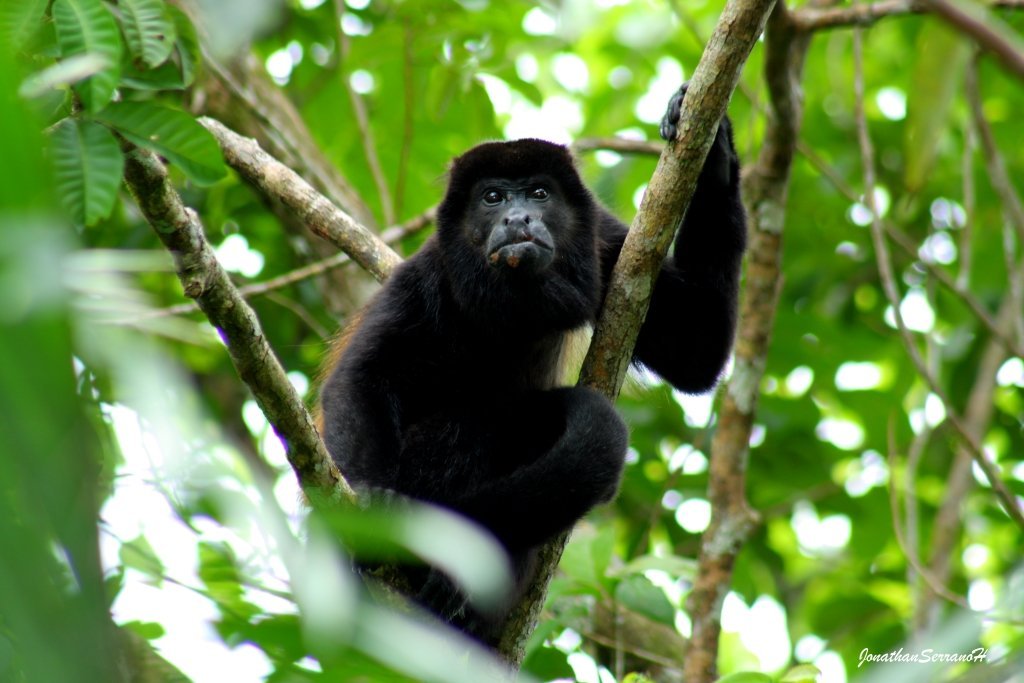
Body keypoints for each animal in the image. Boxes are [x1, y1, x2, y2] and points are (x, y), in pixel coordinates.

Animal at [315, 82, 749, 643]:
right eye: (493, 197)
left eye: (539, 194)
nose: (518, 218)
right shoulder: (428, 275)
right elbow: (361, 379)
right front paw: (373, 505)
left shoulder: (607, 245)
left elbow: (696, 350)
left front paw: (715, 151)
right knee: (470, 427)